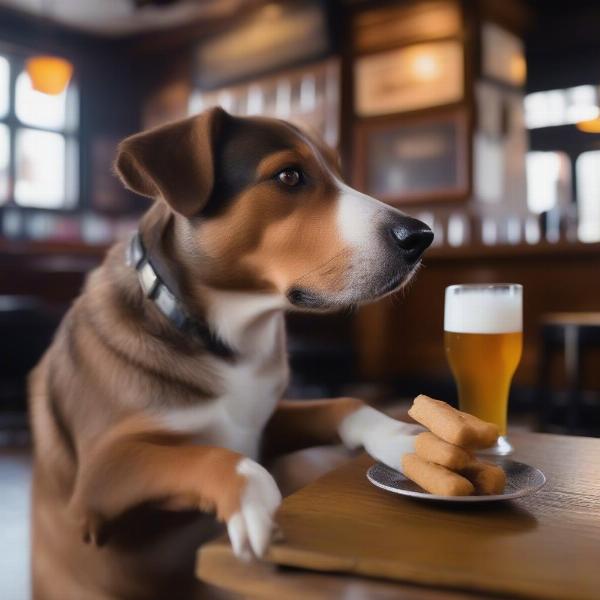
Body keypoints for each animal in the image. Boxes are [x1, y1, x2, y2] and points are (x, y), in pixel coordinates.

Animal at [29, 108, 432, 600]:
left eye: (338, 170)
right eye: (290, 175)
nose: (422, 235)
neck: (225, 341)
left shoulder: (263, 422)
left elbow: (343, 402)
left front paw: (397, 434)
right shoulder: (99, 481)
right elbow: (207, 456)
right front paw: (251, 497)